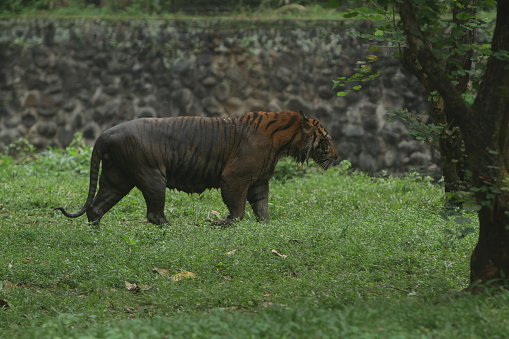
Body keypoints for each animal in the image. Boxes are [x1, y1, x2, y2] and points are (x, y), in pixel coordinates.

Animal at [54, 111, 338, 226]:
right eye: (327, 140)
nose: (336, 157)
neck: (282, 143)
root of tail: (106, 133)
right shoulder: (234, 177)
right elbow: (238, 208)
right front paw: (226, 224)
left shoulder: (259, 181)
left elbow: (261, 206)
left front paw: (266, 226)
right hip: (151, 176)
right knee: (154, 214)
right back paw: (175, 229)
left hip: (117, 178)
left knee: (97, 207)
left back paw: (97, 231)